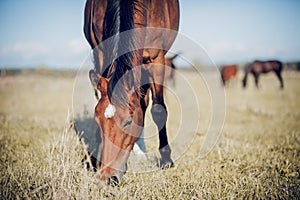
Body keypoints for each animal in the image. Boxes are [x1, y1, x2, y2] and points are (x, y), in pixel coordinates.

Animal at [83, 0, 179, 184]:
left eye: (128, 122)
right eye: (97, 121)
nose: (107, 177)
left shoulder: (157, 59)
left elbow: (158, 110)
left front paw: (166, 160)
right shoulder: (100, 52)